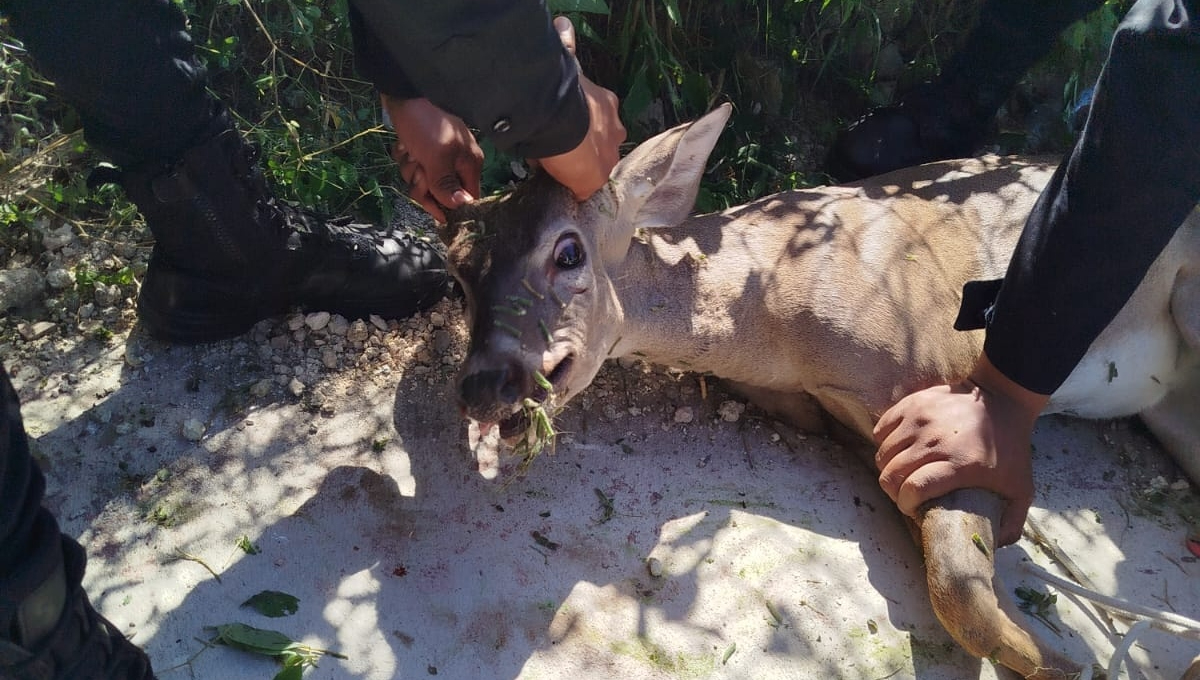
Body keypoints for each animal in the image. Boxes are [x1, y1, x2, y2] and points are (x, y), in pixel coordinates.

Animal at [436, 102, 1195, 680]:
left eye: (568, 251)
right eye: (457, 270)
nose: (479, 386)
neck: (780, 326)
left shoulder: (946, 370)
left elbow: (961, 585)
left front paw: (1068, 661)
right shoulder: (846, 422)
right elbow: (952, 571)